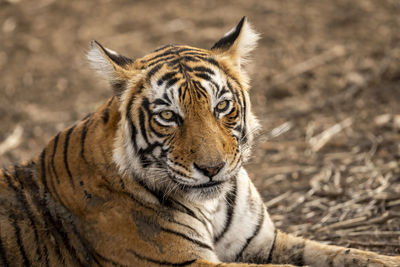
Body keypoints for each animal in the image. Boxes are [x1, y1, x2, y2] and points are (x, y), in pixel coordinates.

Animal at [0, 17, 400, 267]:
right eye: (167, 116)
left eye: (221, 106)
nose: (212, 168)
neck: (213, 207)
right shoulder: (185, 262)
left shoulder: (263, 243)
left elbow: (344, 254)